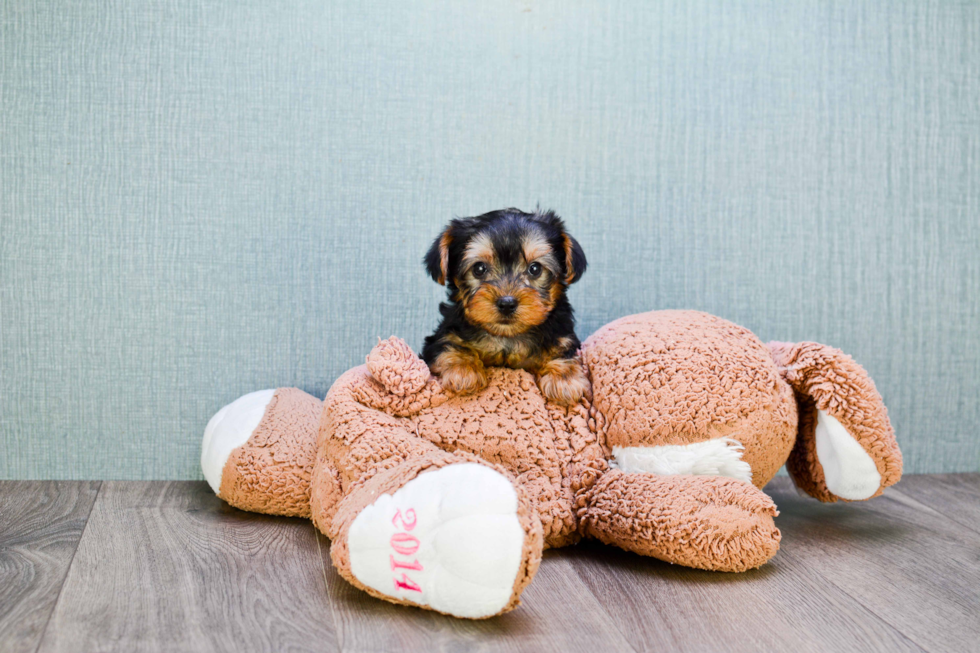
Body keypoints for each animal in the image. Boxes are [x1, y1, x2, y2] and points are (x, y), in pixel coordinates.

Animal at [422, 208, 588, 402]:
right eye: (479, 269)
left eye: (535, 269)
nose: (507, 303)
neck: (507, 337)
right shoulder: (441, 337)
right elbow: (448, 344)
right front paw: (462, 370)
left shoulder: (561, 333)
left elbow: (562, 348)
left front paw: (564, 378)